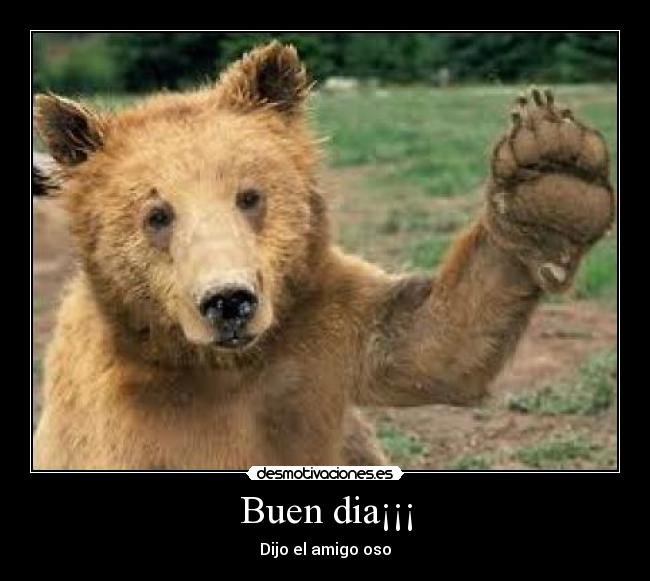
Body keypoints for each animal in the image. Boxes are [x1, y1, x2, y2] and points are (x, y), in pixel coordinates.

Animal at [32, 41, 614, 470]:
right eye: (157, 214)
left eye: (250, 195)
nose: (229, 301)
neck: (220, 366)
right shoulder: (127, 420)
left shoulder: (318, 333)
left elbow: (435, 344)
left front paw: (552, 181)